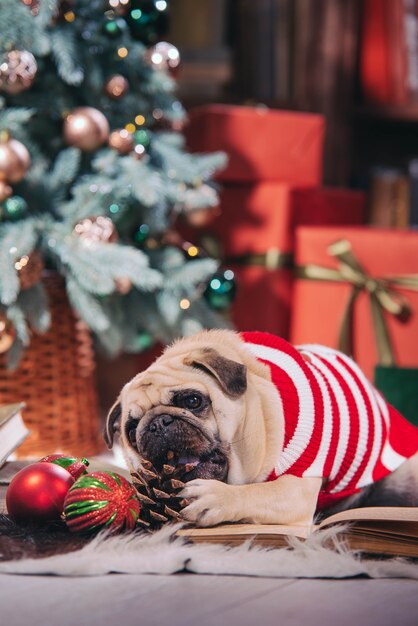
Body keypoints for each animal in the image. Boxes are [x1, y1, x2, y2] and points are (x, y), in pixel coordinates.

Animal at [105, 330, 418, 524]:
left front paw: (217, 497)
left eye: (193, 400)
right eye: (132, 430)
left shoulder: (296, 489)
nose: (159, 423)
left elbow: (257, 492)